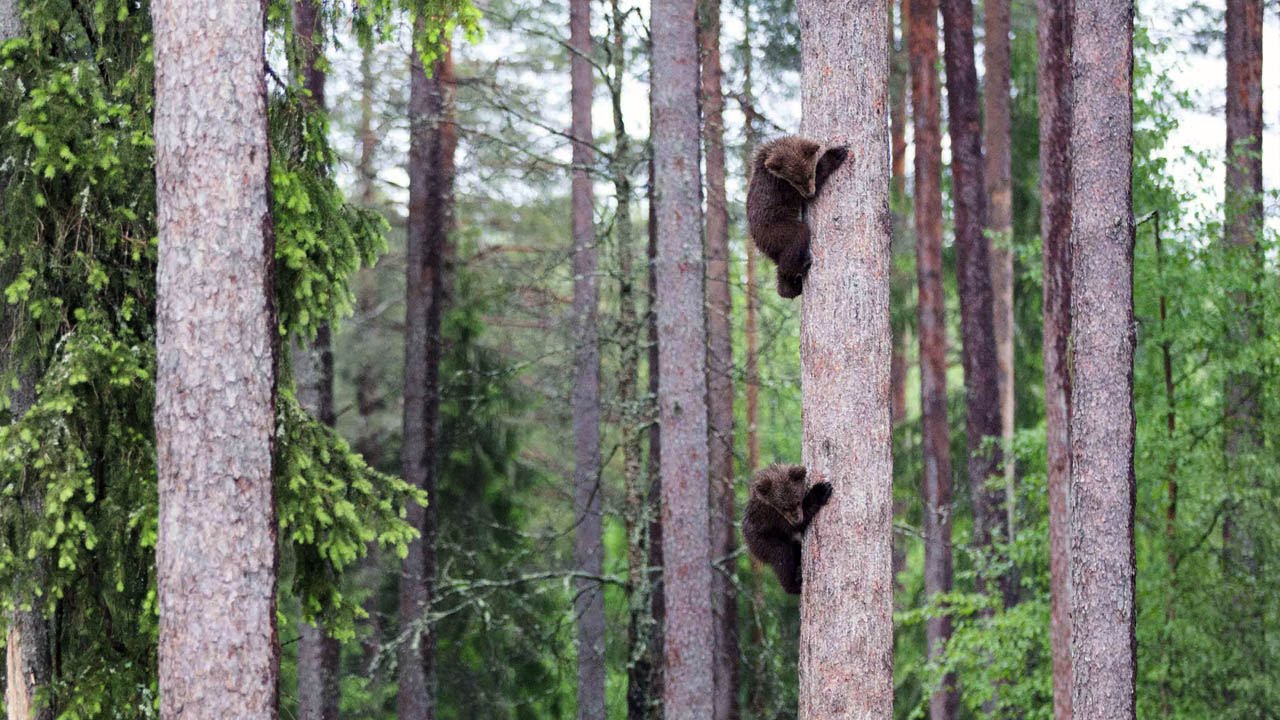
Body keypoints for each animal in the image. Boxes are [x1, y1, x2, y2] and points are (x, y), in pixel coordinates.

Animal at [742, 463, 833, 594]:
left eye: (797, 501)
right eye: (784, 507)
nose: (797, 518)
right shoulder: (772, 516)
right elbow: (796, 525)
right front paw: (820, 491)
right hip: (763, 541)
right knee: (781, 555)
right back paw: (795, 582)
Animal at [746, 136, 849, 298]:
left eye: (808, 175)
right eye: (796, 180)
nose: (810, 193)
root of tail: (758, 243)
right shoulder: (783, 188)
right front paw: (835, 154)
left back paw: (790, 287)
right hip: (775, 231)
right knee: (798, 237)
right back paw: (803, 266)